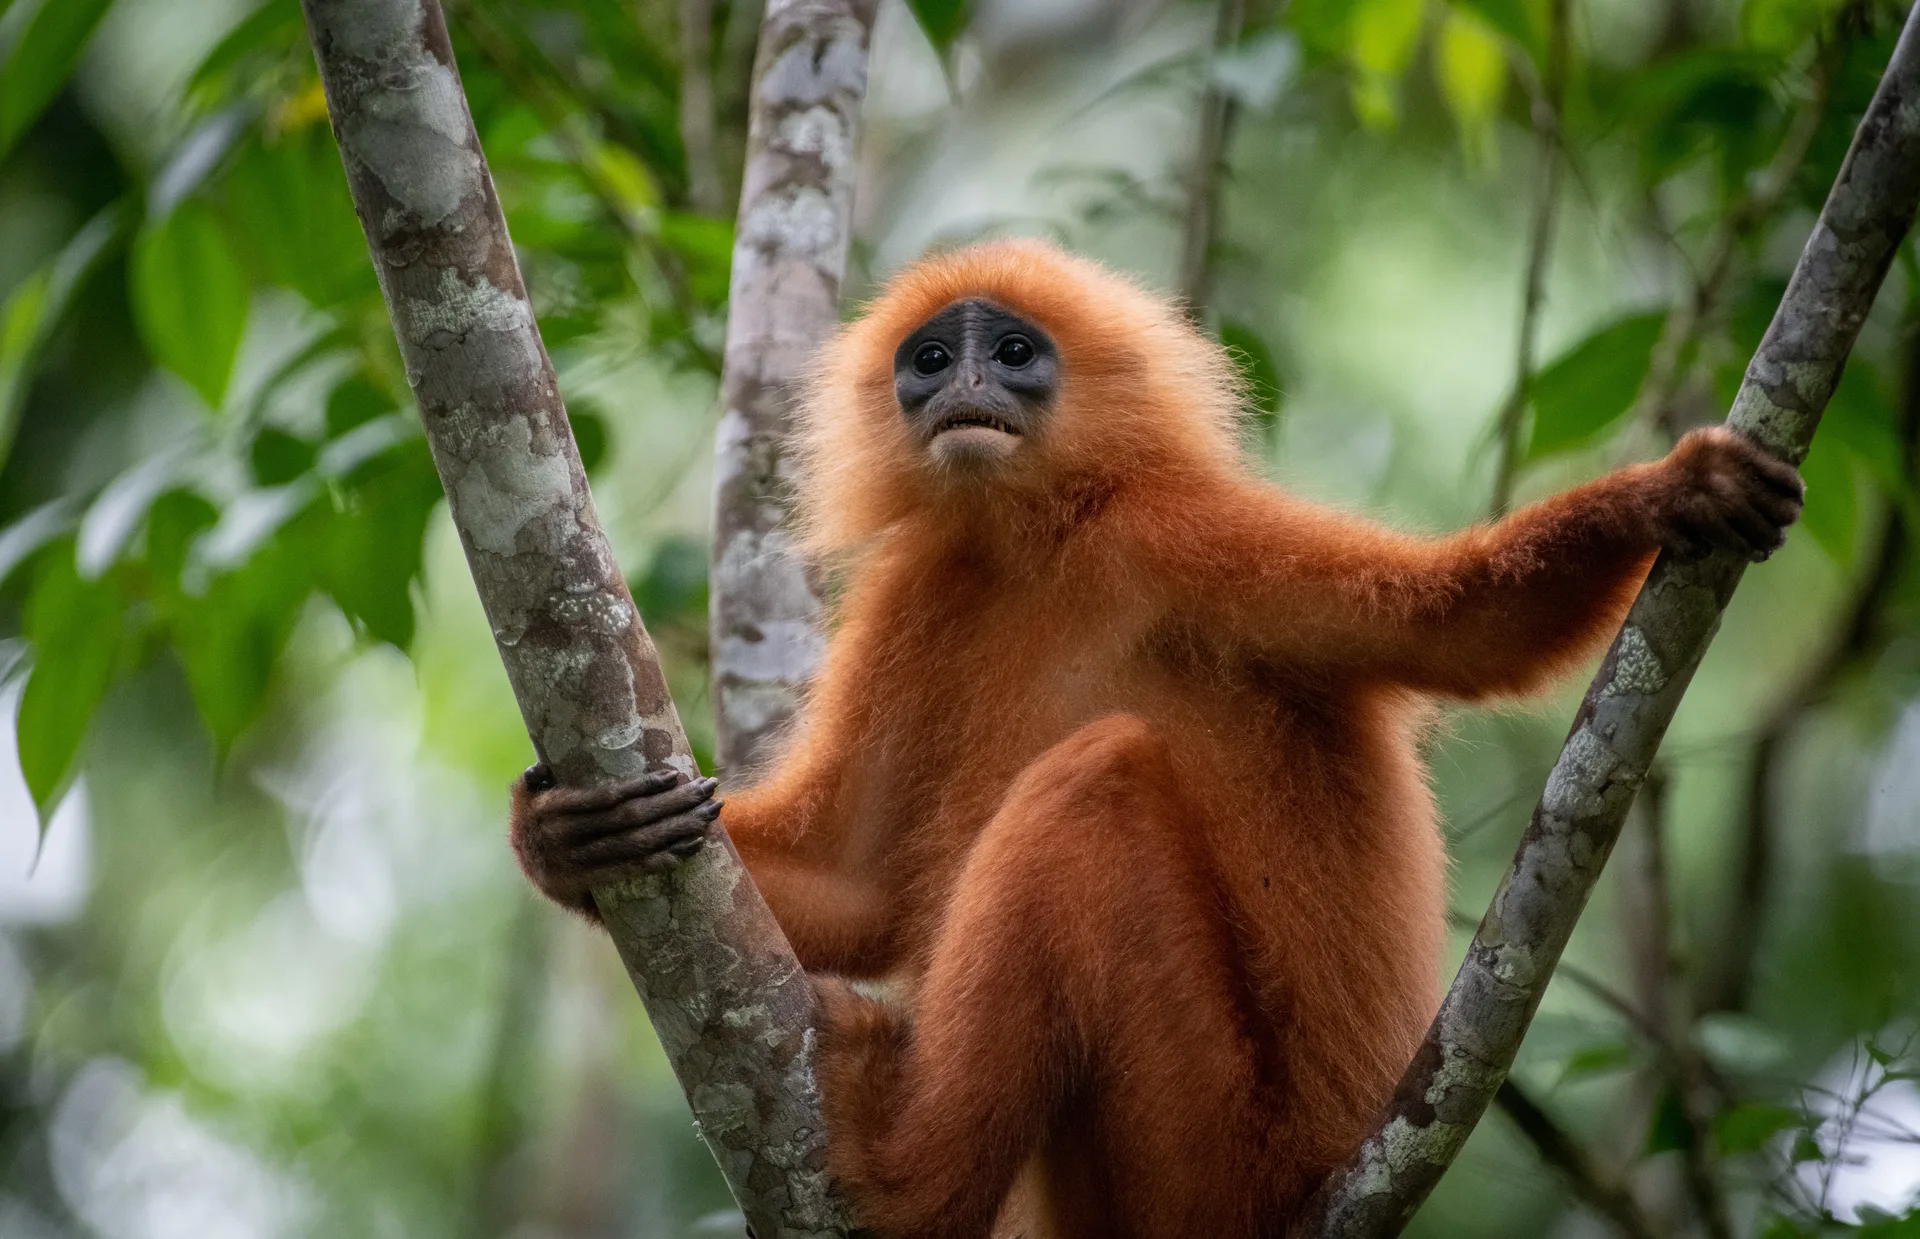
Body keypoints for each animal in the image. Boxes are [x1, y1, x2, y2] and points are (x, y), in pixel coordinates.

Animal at [511, 240, 1803, 1239]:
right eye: (929, 361)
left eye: (1011, 353)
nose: (958, 382)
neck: (1046, 544)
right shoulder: (926, 589)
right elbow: (858, 877)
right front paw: (568, 842)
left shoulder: (1182, 532)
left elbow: (1462, 629)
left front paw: (1667, 494)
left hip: (1212, 1155)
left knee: (1098, 784)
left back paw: (907, 1174)